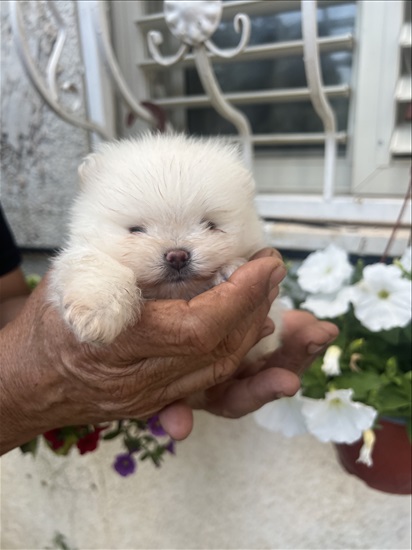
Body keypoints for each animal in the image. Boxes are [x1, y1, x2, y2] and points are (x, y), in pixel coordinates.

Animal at [47, 132, 280, 360]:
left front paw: (229, 268)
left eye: (210, 225)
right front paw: (98, 311)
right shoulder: (80, 252)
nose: (177, 256)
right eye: (136, 229)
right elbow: (94, 264)